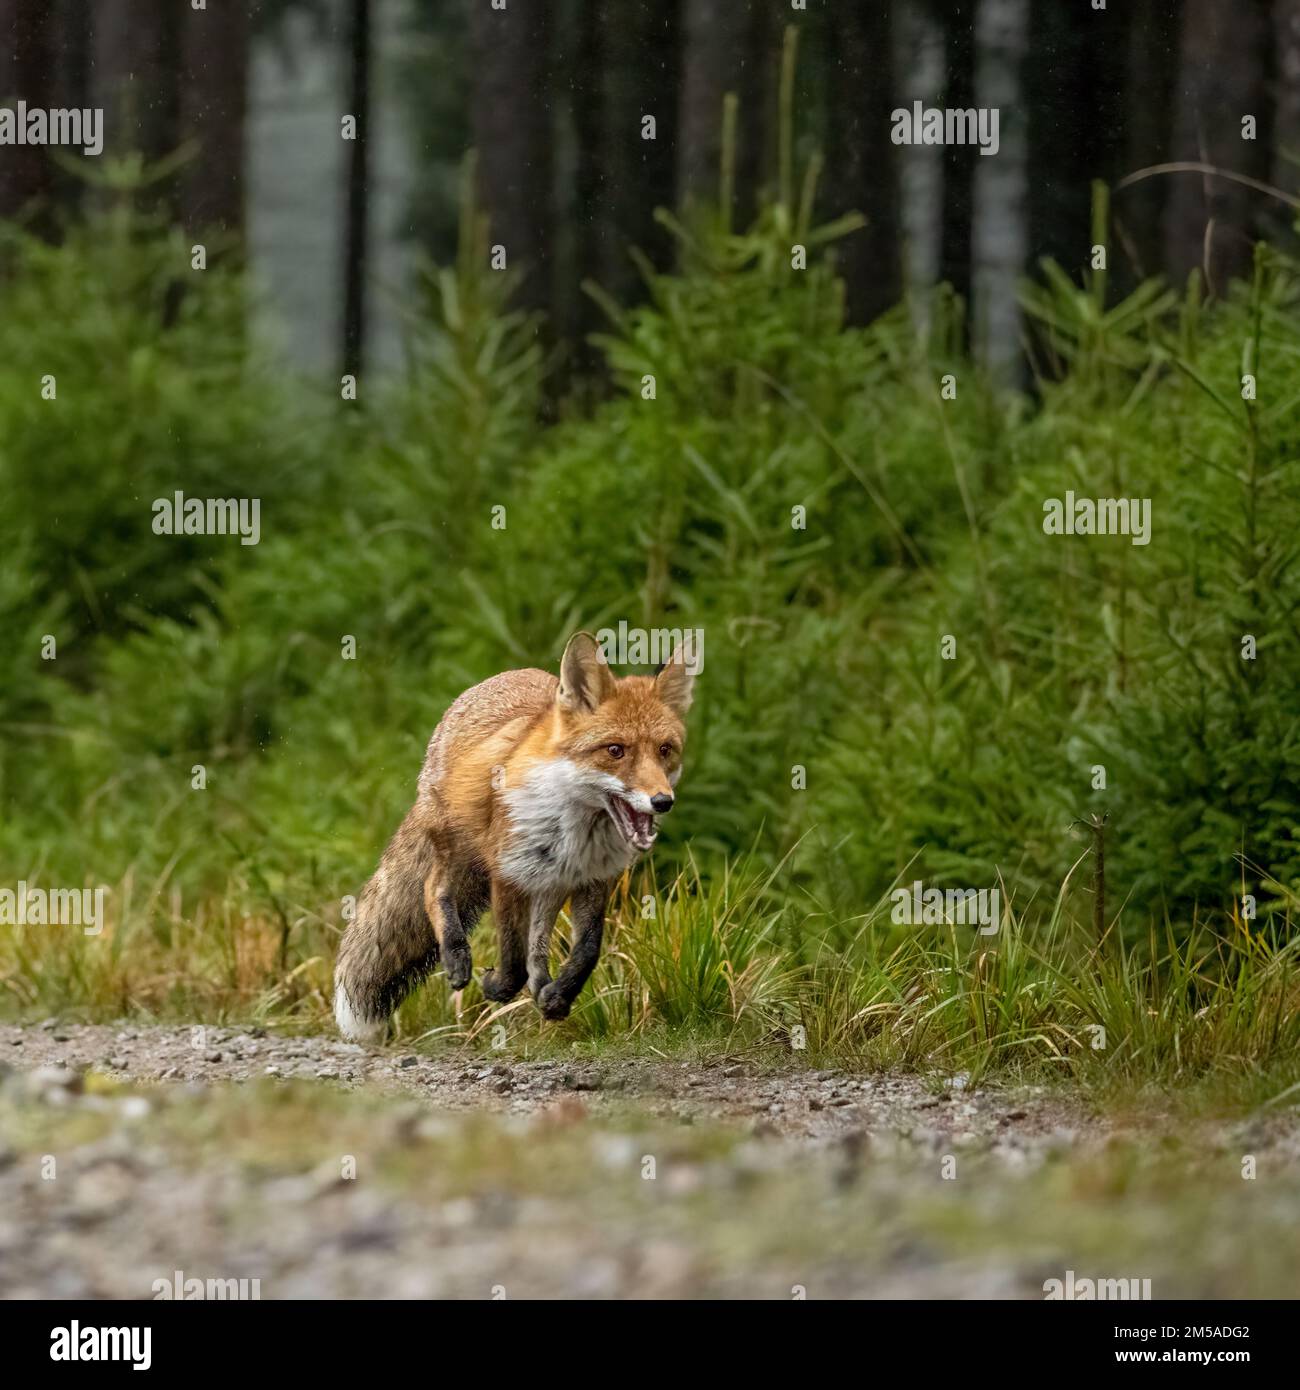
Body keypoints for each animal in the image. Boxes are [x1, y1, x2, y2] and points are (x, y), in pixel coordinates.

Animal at [333, 631, 696, 1041]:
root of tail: (496, 678)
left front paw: (556, 997)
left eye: (665, 750)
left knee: (538, 945)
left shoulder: (592, 880)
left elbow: (586, 950)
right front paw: (497, 986)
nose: (662, 801)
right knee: (432, 888)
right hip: (456, 839)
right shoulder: (507, 873)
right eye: (615, 750)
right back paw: (456, 956)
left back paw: (541, 986)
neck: (574, 832)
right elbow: (513, 956)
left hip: (547, 884)